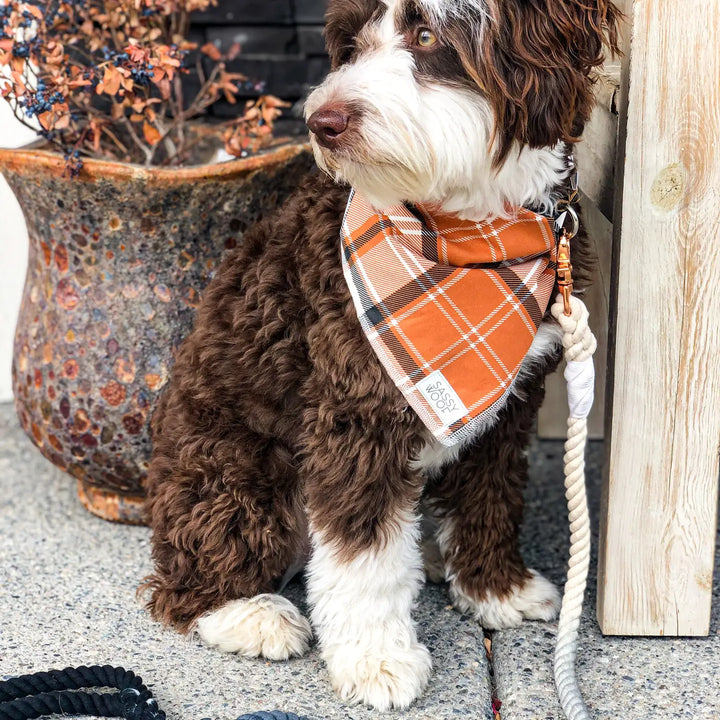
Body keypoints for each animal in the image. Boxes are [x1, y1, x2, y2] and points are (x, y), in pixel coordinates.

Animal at [145, 0, 620, 708]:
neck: (473, 230)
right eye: (351, 46)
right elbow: (362, 555)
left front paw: (493, 590)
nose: (321, 121)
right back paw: (248, 614)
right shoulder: (359, 409)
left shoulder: (510, 401)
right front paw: (376, 659)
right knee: (189, 573)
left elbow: (490, 494)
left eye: (425, 34)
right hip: (232, 463)